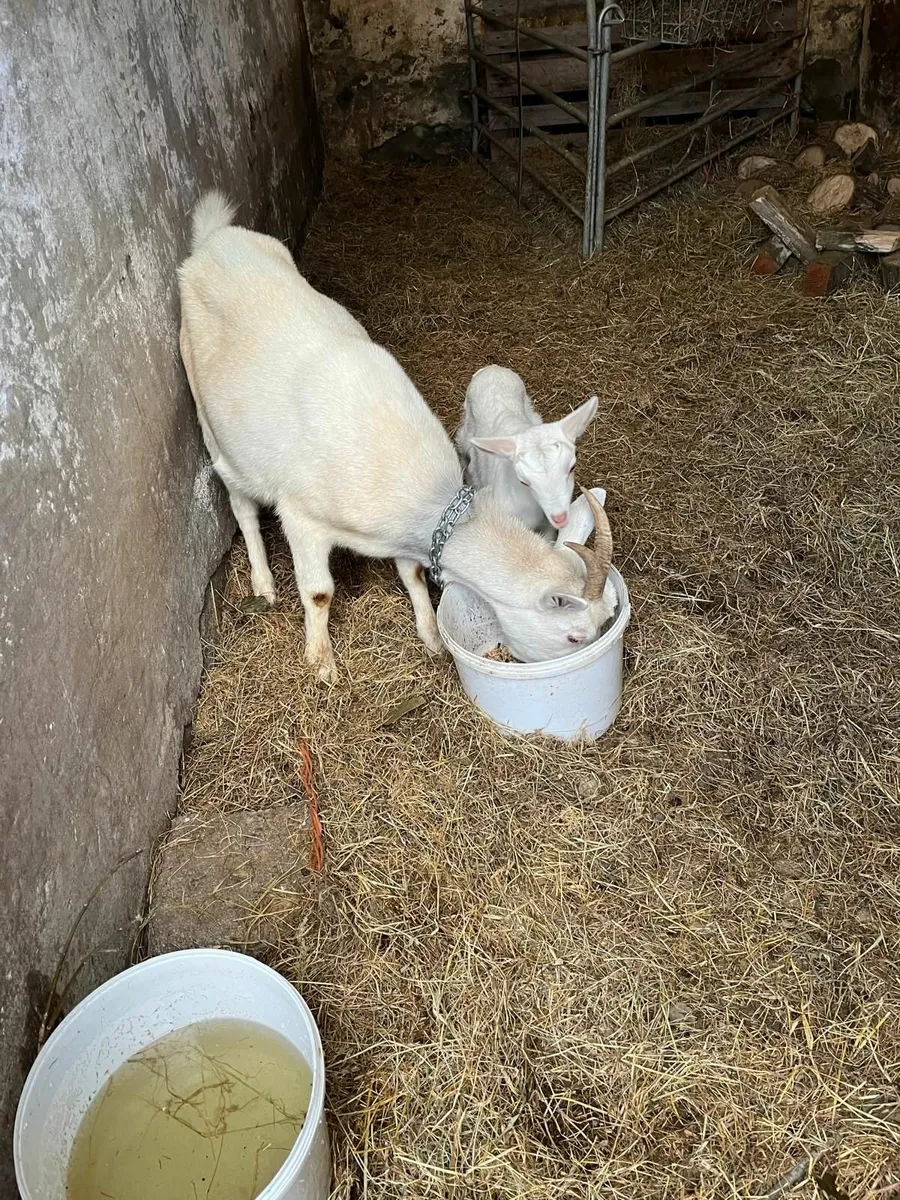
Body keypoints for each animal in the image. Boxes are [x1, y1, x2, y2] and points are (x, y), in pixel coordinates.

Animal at [456, 365, 598, 535]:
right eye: (523, 481)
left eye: (572, 467)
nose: (560, 518)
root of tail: (492, 368)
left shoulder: (548, 528)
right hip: (467, 428)